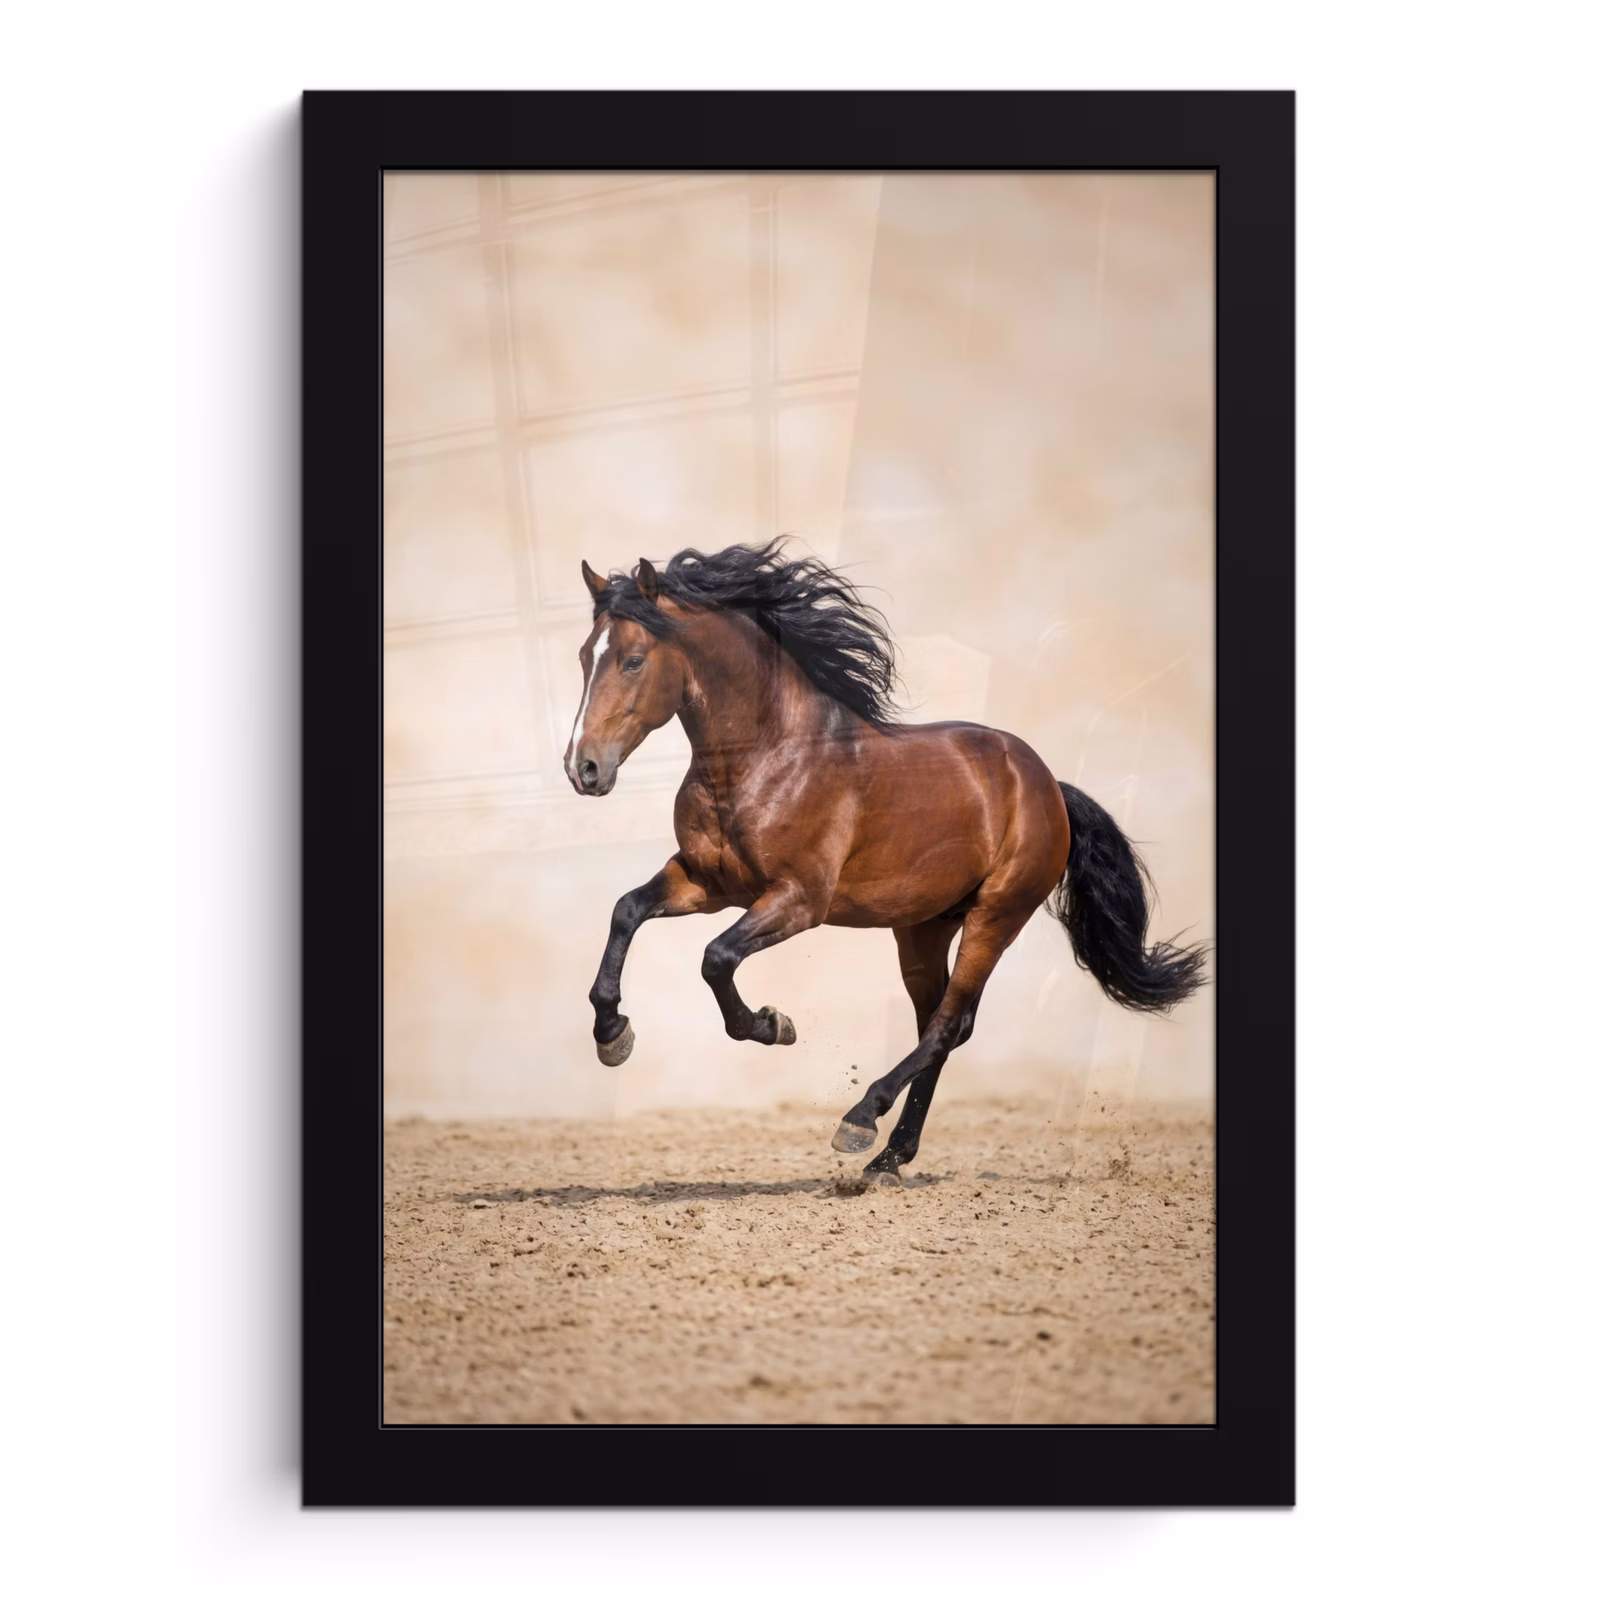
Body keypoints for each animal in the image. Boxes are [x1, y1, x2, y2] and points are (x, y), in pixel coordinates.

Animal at [563, 540, 1206, 1183]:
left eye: (634, 660)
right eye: (584, 656)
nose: (582, 768)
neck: (767, 756)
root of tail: (1048, 785)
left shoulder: (799, 899)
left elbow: (716, 958)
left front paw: (773, 1025)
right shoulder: (707, 883)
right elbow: (627, 911)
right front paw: (612, 1035)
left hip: (996, 915)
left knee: (947, 1025)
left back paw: (861, 1121)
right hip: (922, 927)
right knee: (942, 1024)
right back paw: (891, 1156)